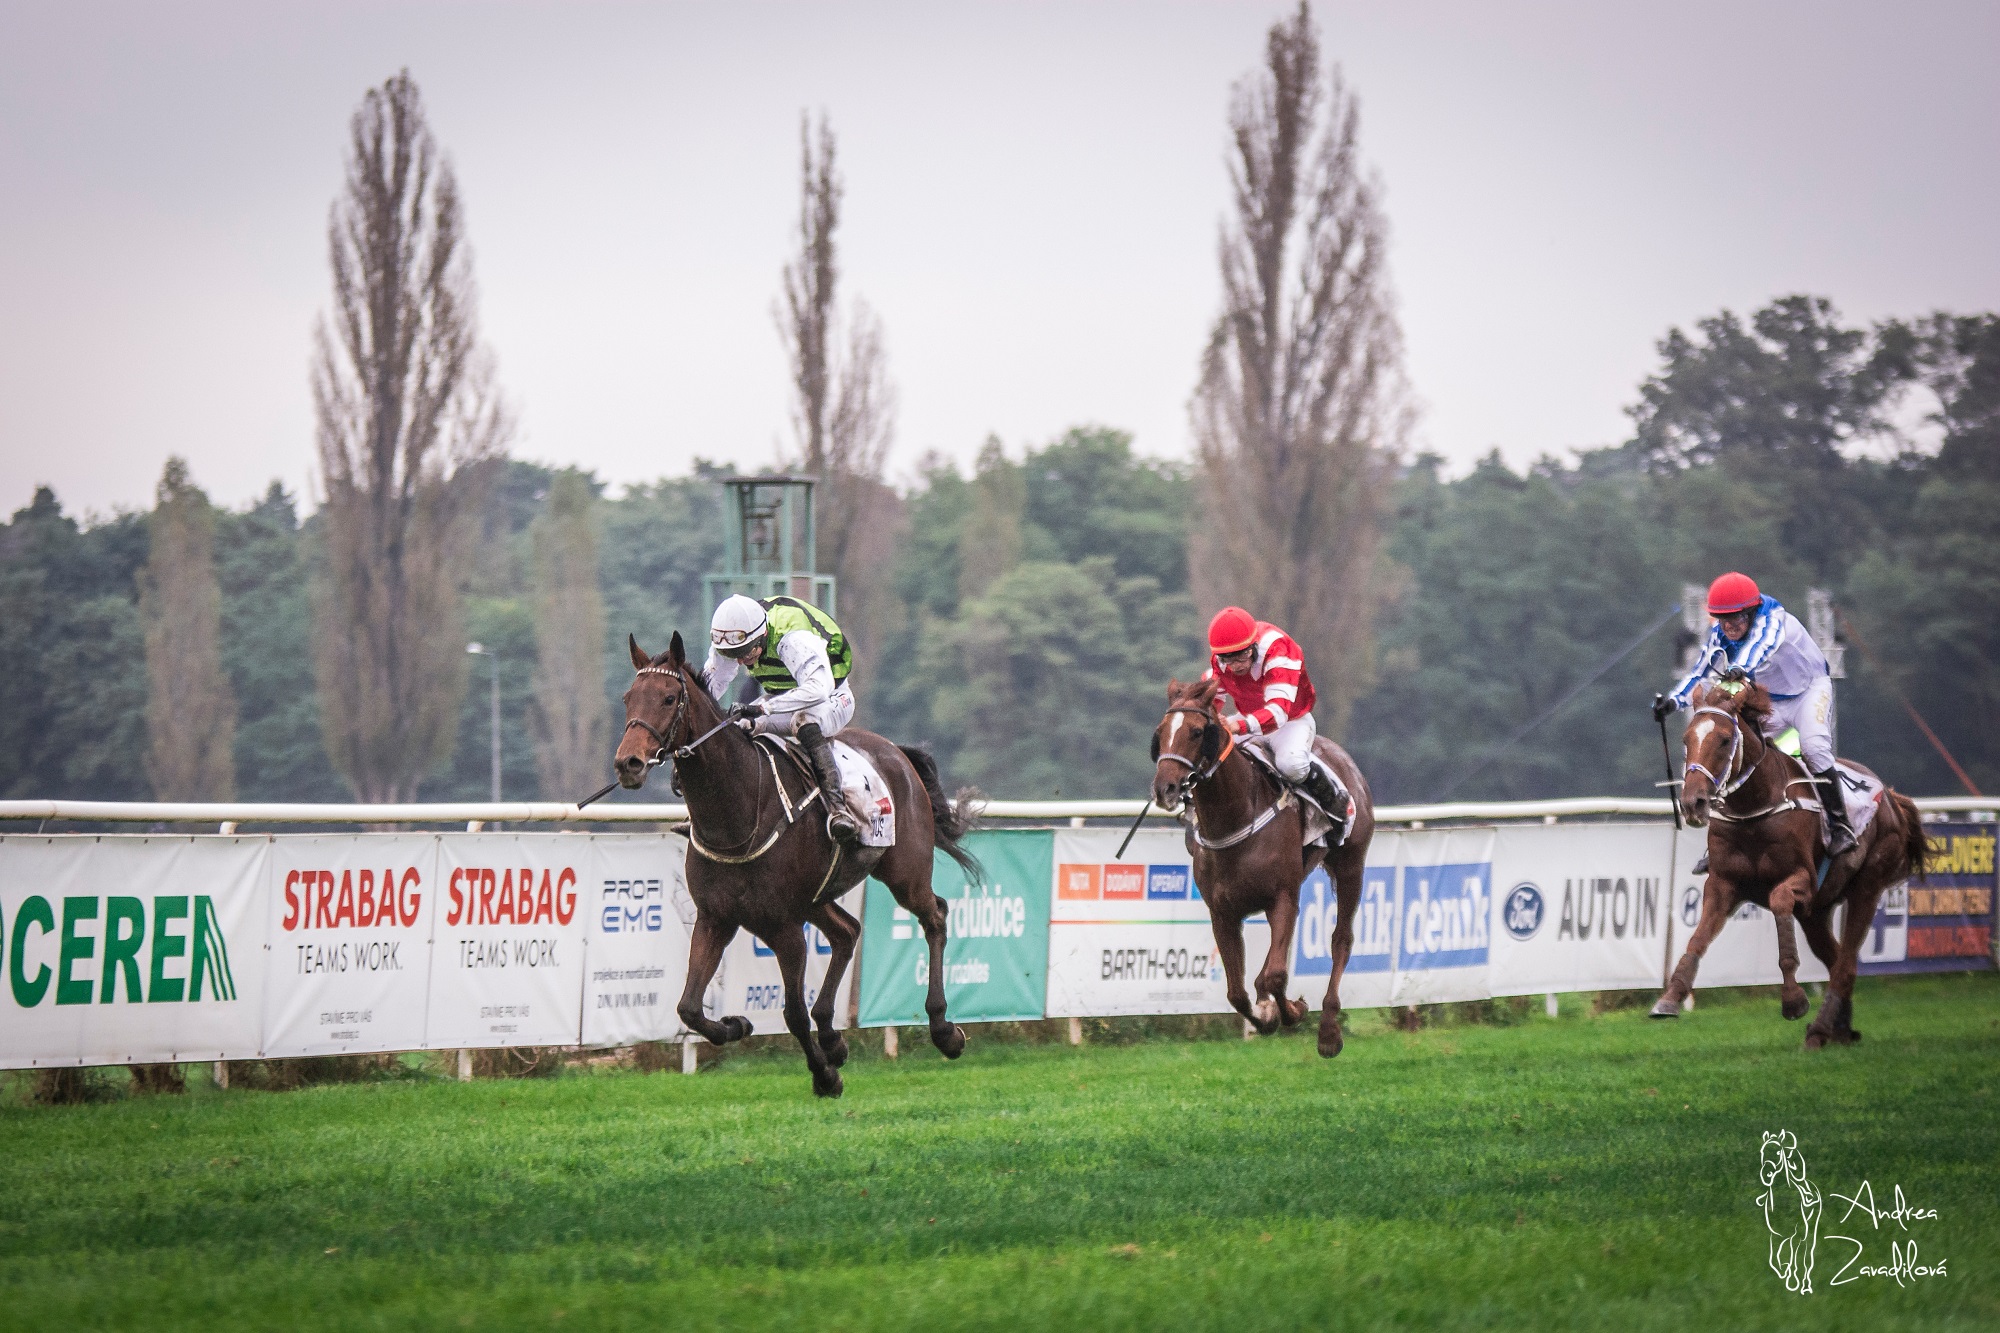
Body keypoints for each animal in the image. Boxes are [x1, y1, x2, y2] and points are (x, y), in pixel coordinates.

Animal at [612, 632, 980, 1088]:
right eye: (628, 698)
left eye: (667, 698)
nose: (628, 763)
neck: (738, 811)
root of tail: (896, 752)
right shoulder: (715, 918)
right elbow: (689, 1009)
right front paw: (738, 1025)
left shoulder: (785, 928)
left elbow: (792, 1014)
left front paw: (824, 1078)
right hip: (816, 897)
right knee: (847, 932)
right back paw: (833, 1036)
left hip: (904, 873)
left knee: (935, 916)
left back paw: (944, 1029)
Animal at [1144, 680, 1376, 1056]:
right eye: (1161, 732)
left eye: (1196, 732)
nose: (1165, 788)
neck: (1236, 818)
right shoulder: (1222, 912)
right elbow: (1237, 992)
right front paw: (1266, 1016)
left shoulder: (1283, 899)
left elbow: (1275, 974)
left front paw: (1293, 1011)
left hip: (1351, 866)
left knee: (1341, 939)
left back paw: (1329, 1030)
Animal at [1656, 668, 1920, 1040]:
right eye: (1686, 739)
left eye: (1724, 739)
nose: (1694, 803)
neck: (1754, 810)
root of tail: (1893, 800)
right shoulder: (1722, 884)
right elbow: (1697, 939)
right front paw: (1670, 998)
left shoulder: (1803, 881)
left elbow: (1780, 900)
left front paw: (1793, 999)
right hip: (1817, 912)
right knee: (1838, 960)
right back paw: (1837, 1029)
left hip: (1867, 886)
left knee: (1846, 963)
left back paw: (1822, 1028)